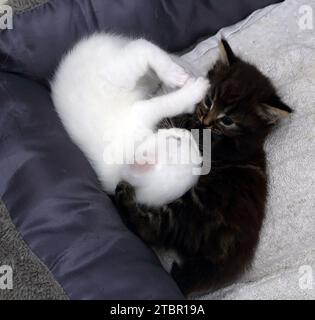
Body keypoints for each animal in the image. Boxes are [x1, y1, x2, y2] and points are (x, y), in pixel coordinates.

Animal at [51, 33, 210, 206]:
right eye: (177, 140)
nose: (187, 134)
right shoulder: (140, 113)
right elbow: (169, 103)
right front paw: (194, 93)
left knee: (143, 48)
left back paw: (172, 73)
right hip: (119, 75)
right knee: (141, 50)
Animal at [115, 40, 294, 298]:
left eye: (227, 119)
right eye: (209, 100)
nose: (206, 119)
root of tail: (223, 263)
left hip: (191, 206)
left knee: (148, 228)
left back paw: (124, 195)